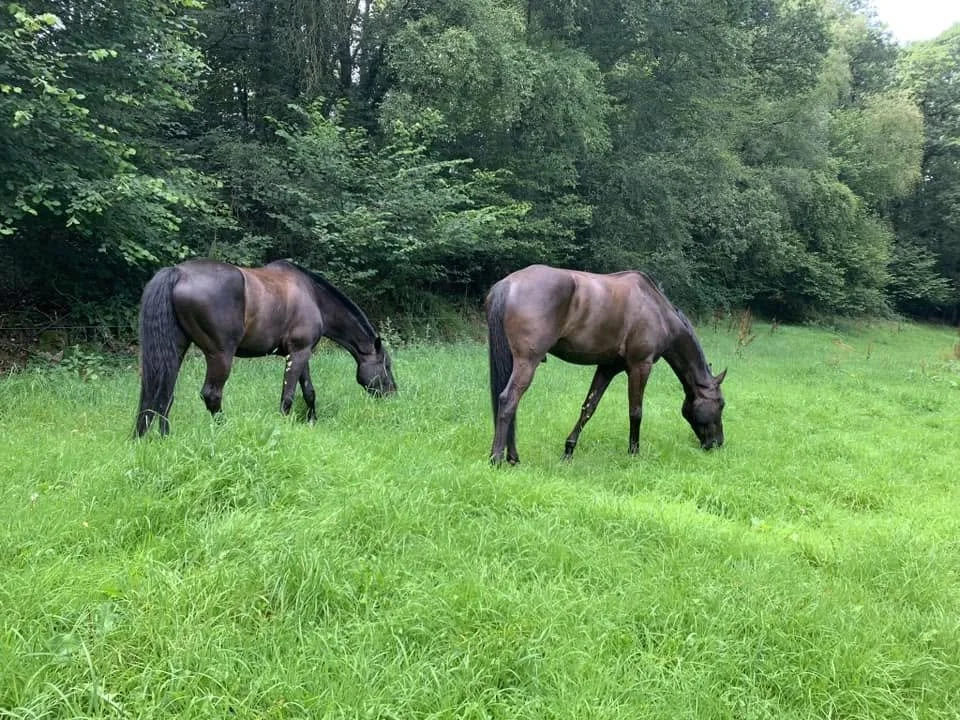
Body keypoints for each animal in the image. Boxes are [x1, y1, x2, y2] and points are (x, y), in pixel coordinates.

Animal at [135, 259, 396, 437]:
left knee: (164, 393)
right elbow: (288, 396)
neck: (314, 297)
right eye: (386, 365)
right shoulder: (299, 352)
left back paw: (163, 436)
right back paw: (224, 430)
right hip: (220, 355)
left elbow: (309, 391)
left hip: (176, 350)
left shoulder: (300, 353)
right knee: (211, 395)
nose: (393, 393)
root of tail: (178, 273)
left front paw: (312, 421)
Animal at [485, 264, 726, 465]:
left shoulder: (607, 368)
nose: (717, 444)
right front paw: (634, 453)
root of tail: (507, 285)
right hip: (527, 362)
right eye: (721, 404)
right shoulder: (640, 366)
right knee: (508, 401)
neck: (657, 311)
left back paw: (513, 457)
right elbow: (636, 411)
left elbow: (588, 408)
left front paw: (568, 451)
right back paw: (496, 458)